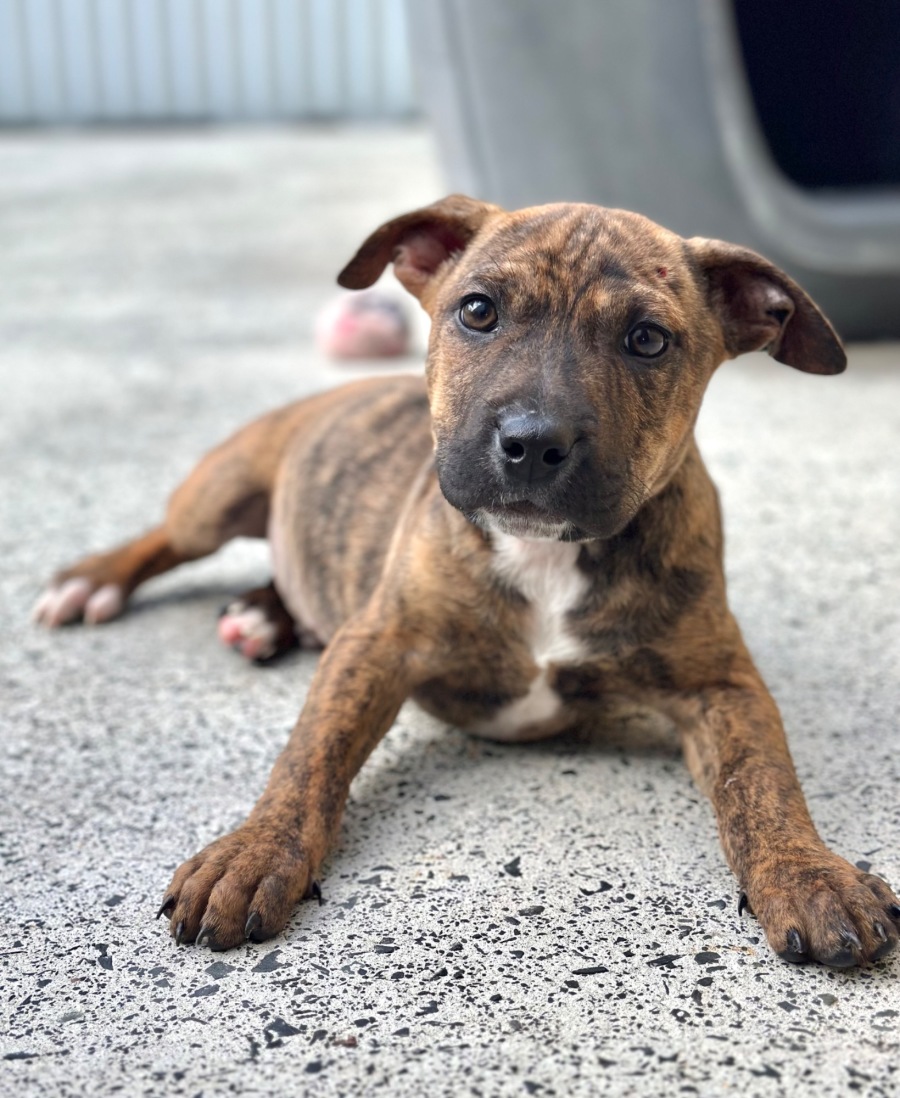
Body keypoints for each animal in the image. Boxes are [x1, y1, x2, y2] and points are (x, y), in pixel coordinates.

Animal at [34, 195, 899, 966]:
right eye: (478, 311)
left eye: (648, 340)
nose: (534, 441)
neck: (546, 554)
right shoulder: (377, 643)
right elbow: (310, 756)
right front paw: (254, 851)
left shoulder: (721, 684)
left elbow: (765, 782)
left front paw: (810, 874)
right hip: (221, 492)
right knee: (166, 538)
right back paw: (94, 581)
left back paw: (263, 616)